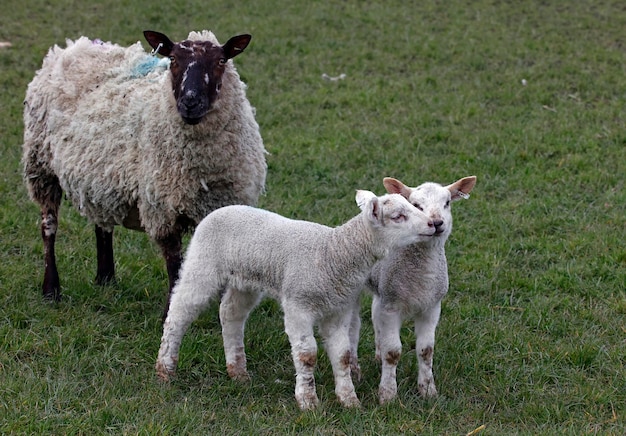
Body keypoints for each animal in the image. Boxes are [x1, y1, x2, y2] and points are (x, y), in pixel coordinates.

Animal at [21, 29, 266, 314]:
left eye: (221, 61)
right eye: (173, 59)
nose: (190, 102)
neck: (205, 172)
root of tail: (72, 47)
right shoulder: (163, 211)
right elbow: (174, 266)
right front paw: (169, 313)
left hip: (101, 177)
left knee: (102, 224)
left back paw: (106, 278)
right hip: (41, 167)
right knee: (48, 227)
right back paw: (51, 289)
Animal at [154, 190, 436, 408]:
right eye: (398, 217)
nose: (433, 225)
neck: (334, 253)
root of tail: (218, 211)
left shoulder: (338, 310)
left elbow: (343, 355)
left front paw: (349, 401)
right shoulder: (298, 305)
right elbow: (307, 355)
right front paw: (308, 402)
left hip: (244, 281)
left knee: (231, 314)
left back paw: (238, 372)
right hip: (203, 264)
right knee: (179, 314)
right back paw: (165, 369)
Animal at [360, 175, 472, 406]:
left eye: (447, 203)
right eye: (416, 205)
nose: (436, 223)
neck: (421, 278)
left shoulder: (432, 307)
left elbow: (426, 351)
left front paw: (428, 390)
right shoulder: (391, 307)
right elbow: (393, 352)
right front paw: (388, 395)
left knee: (375, 317)